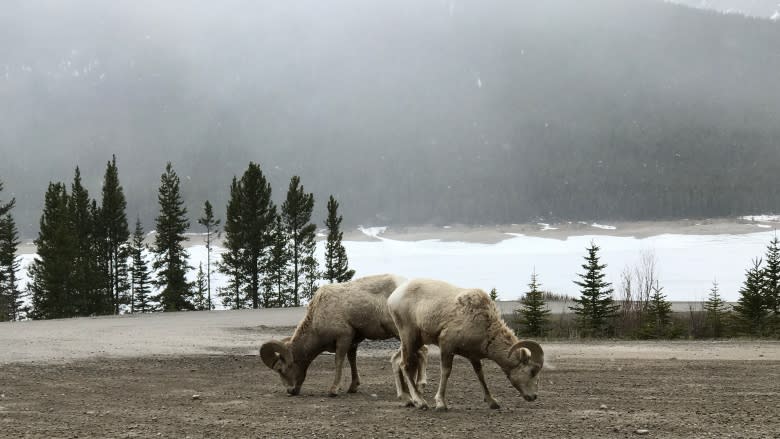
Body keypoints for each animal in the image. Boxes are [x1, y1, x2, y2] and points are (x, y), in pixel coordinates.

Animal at [260, 274, 426, 398]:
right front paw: (352, 387)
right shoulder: (353, 341)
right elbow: (352, 360)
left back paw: (418, 386)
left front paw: (333, 390)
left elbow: (339, 361)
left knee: (421, 352)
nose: (290, 391)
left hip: (402, 332)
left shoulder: (343, 337)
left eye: (280, 369)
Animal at [388, 280, 544, 410]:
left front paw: (492, 402)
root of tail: (393, 297)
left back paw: (409, 400)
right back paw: (420, 402)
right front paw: (441, 403)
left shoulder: (473, 356)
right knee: (405, 365)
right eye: (532, 371)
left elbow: (480, 374)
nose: (534, 396)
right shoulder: (446, 345)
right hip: (408, 337)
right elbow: (446, 372)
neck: (485, 325)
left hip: (416, 342)